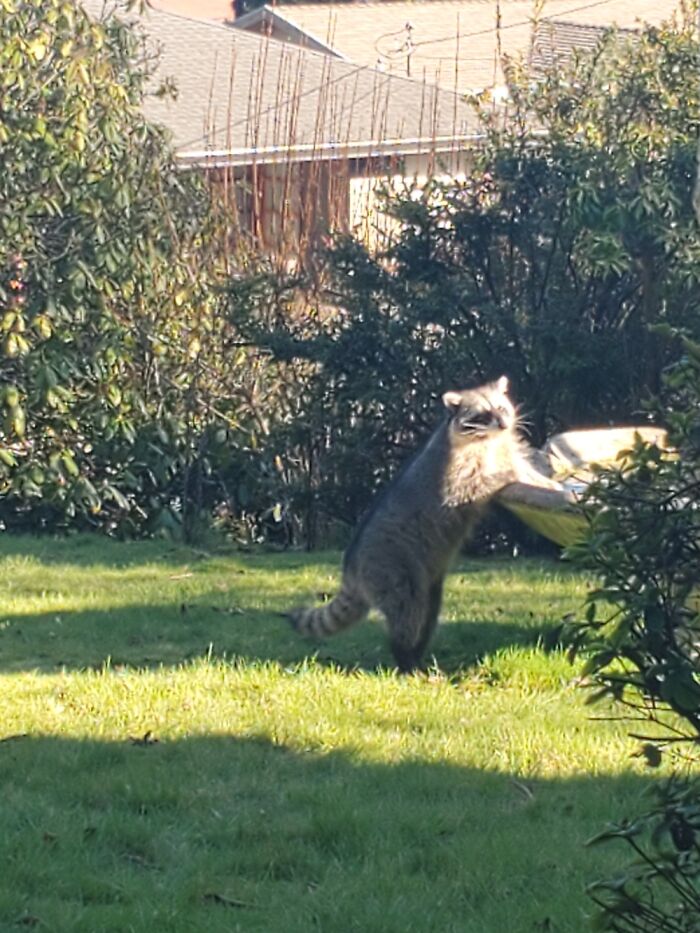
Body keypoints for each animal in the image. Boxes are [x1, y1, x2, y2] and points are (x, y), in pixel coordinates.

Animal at [288, 376, 553, 672]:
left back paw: (418, 653)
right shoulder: (456, 475)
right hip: (393, 571)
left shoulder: (505, 449)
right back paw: (405, 658)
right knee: (407, 612)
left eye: (501, 407)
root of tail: (352, 568)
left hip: (429, 583)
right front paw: (505, 475)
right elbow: (476, 485)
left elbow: (528, 473)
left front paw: (549, 484)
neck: (490, 439)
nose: (505, 424)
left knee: (428, 615)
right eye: (483, 414)